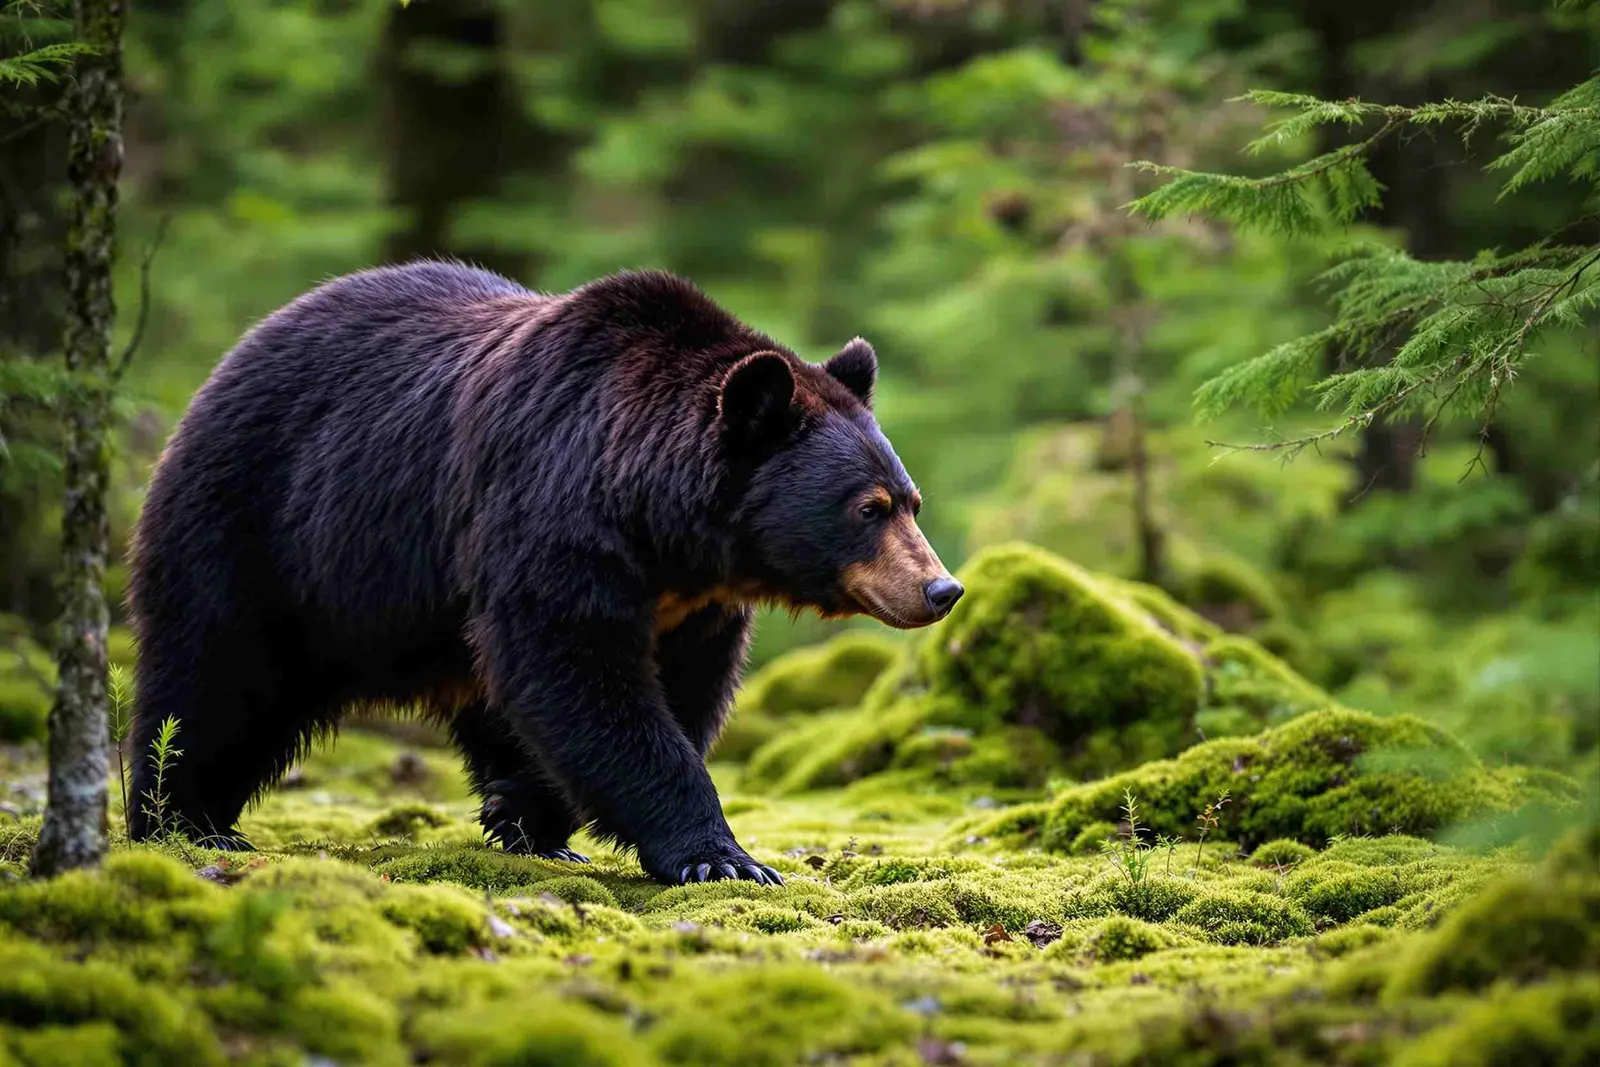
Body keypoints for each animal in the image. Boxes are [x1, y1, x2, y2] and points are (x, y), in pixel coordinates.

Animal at [126, 261, 963, 884]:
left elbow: (669, 689)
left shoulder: (692, 604)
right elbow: (577, 668)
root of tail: (232, 358)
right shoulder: (551, 512)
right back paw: (182, 821)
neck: (662, 525)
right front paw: (723, 857)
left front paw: (529, 812)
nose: (942, 588)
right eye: (869, 507)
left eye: (911, 500)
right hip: (263, 527)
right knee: (213, 674)